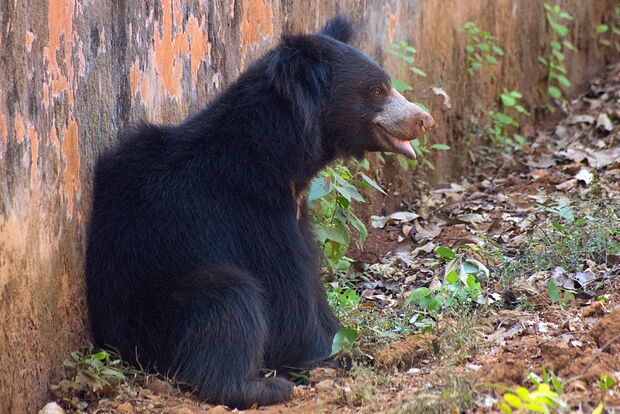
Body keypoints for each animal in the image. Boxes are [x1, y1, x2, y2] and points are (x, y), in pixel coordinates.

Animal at [86, 14, 436, 410]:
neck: (278, 157)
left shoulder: (295, 212)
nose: (424, 120)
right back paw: (260, 388)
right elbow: (287, 291)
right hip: (158, 310)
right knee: (230, 298)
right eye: (377, 90)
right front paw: (335, 356)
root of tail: (114, 343)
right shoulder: (250, 211)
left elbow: (311, 282)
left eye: (387, 85)